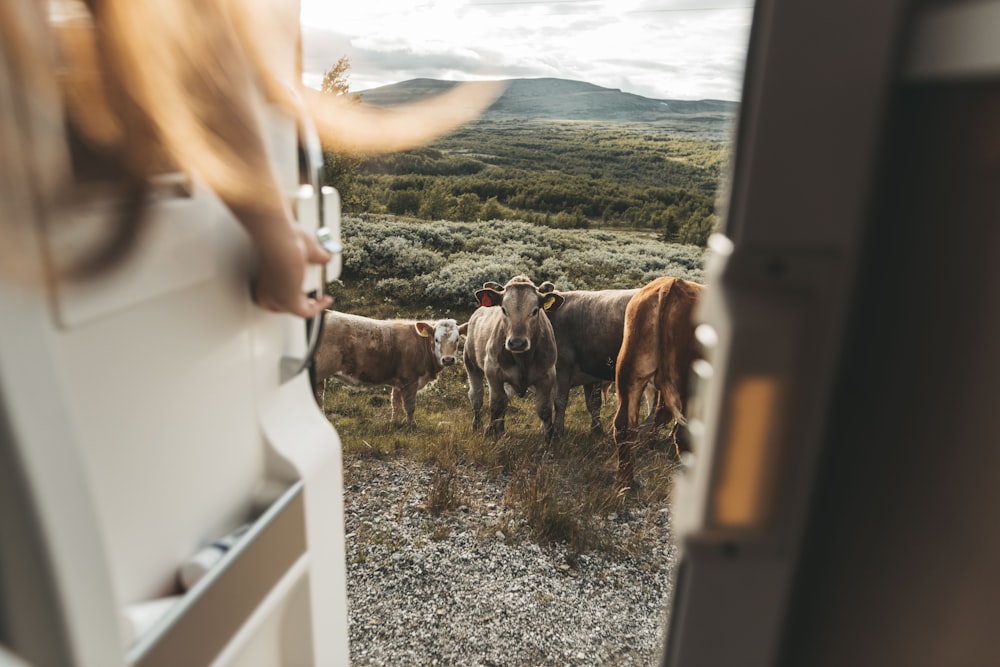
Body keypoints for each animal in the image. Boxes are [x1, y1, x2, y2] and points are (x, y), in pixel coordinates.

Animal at [314, 314, 466, 428]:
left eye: (457, 339)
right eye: (436, 339)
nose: (448, 359)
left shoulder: (399, 382)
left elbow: (396, 404)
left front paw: (394, 423)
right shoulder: (410, 380)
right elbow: (409, 406)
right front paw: (412, 425)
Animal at [464, 276, 568, 444]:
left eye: (535, 310)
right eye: (503, 309)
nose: (517, 342)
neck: (522, 359)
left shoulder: (547, 376)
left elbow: (545, 409)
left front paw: (549, 438)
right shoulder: (493, 373)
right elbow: (496, 404)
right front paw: (491, 432)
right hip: (471, 364)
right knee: (476, 396)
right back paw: (477, 425)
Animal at [540, 282, 640, 438]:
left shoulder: (562, 368)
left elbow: (559, 401)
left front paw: (557, 431)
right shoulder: (591, 373)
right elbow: (593, 403)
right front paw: (597, 429)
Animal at [608, 276, 704, 486]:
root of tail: (671, 284)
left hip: (630, 372)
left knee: (623, 425)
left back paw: (626, 481)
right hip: (686, 382)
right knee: (683, 435)